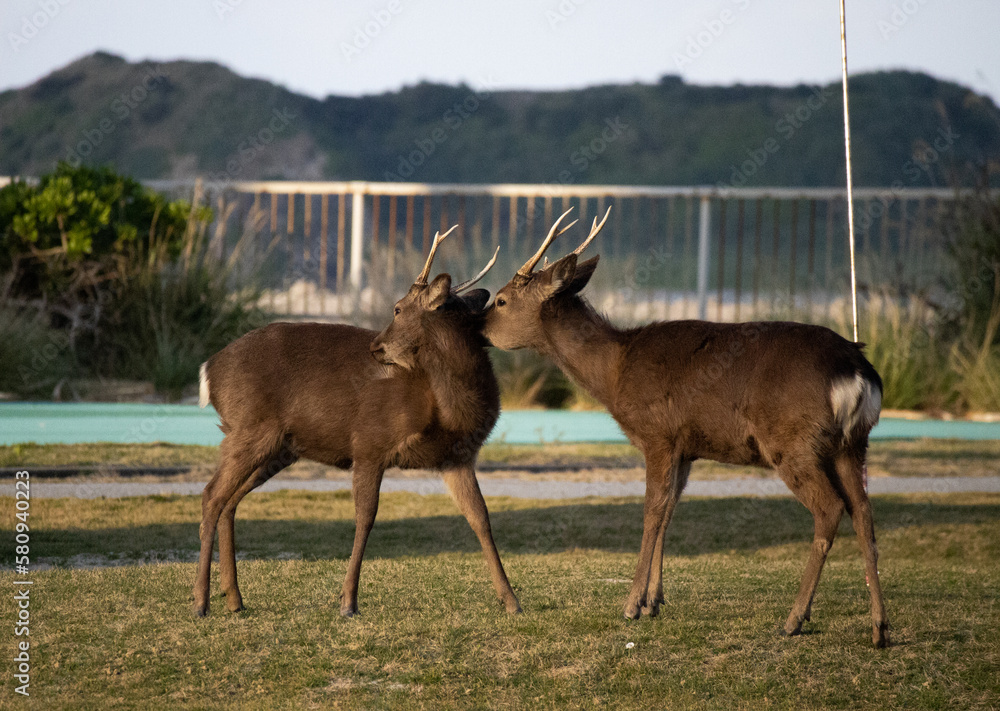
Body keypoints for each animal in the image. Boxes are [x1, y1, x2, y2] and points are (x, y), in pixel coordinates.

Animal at [193, 227, 521, 619]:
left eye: (397, 308)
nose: (375, 347)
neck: (445, 404)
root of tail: (209, 370)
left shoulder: (457, 457)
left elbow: (481, 519)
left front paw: (512, 600)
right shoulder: (369, 442)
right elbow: (365, 518)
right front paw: (348, 601)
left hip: (278, 448)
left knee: (229, 501)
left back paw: (234, 598)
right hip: (249, 429)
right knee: (211, 495)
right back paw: (200, 601)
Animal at [483, 208, 889, 647]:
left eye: (501, 299)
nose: (478, 324)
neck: (614, 372)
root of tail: (858, 371)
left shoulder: (657, 435)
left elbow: (651, 511)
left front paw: (632, 605)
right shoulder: (686, 447)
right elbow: (669, 511)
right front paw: (654, 602)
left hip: (793, 441)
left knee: (830, 508)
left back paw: (794, 618)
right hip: (852, 444)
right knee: (863, 511)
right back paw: (880, 627)